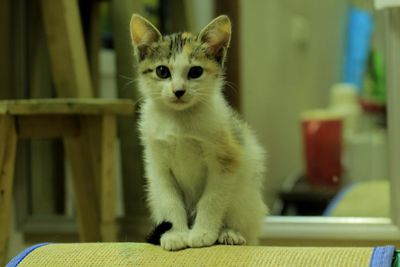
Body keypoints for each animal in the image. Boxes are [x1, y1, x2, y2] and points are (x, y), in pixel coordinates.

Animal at [130, 13, 268, 251]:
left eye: (196, 72)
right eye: (162, 71)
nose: (178, 91)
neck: (179, 120)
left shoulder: (226, 160)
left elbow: (212, 199)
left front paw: (203, 232)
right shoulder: (158, 166)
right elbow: (170, 201)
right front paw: (176, 234)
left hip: (245, 193)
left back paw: (229, 233)